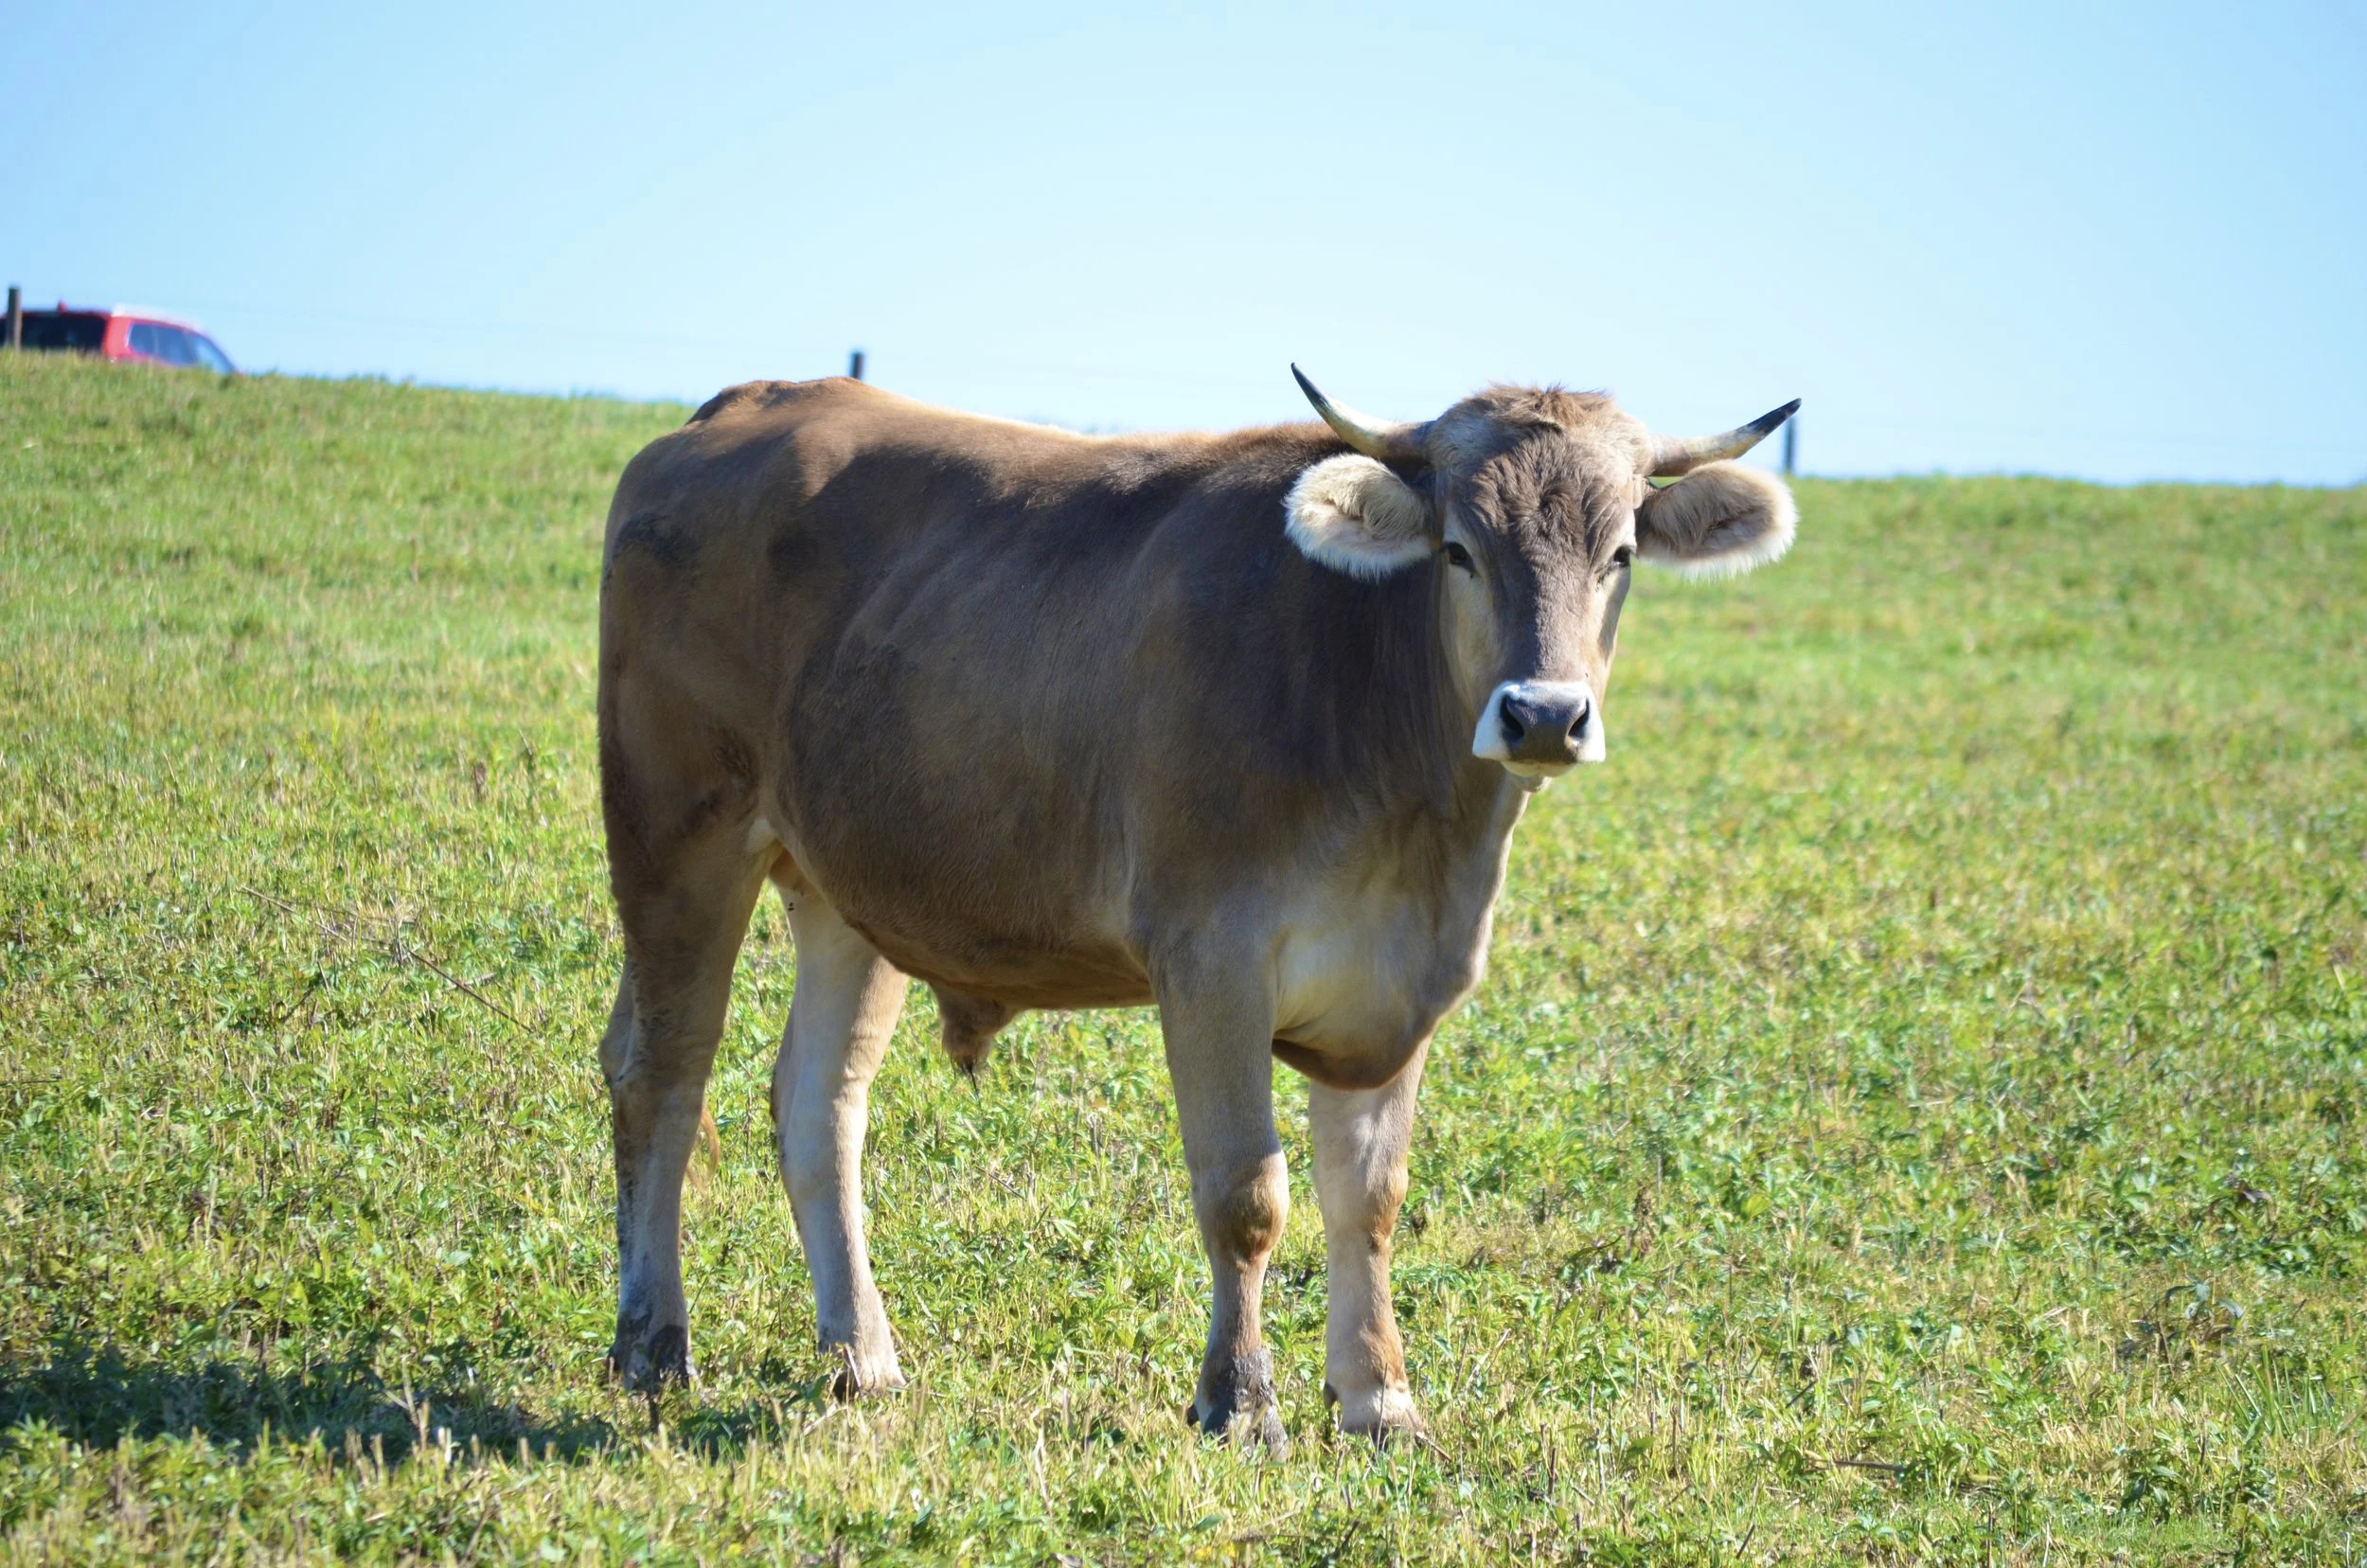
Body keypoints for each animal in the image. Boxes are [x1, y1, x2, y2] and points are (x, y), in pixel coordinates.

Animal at [596, 368, 1798, 1447]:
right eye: (1459, 549)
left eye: (1620, 555)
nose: (1543, 713)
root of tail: (750, 404)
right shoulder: (1210, 958)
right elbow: (1246, 1194)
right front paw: (1243, 1401)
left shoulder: (1399, 982)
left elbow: (1368, 1196)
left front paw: (1380, 1401)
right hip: (676, 830)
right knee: (661, 1070)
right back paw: (652, 1344)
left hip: (851, 882)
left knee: (817, 1100)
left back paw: (864, 1355)